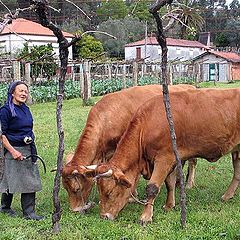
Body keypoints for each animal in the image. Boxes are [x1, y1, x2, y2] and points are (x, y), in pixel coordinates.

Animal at [62, 84, 195, 212]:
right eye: (65, 188)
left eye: (77, 188)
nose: (75, 210)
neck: (106, 117)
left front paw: (132, 195)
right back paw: (178, 181)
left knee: (192, 161)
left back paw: (188, 184)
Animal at [77, 87, 240, 223]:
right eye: (99, 191)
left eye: (110, 192)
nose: (104, 216)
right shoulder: (172, 159)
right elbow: (170, 183)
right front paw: (169, 205)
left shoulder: (164, 158)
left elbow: (153, 187)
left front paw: (145, 216)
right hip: (237, 150)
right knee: (237, 173)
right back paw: (227, 195)